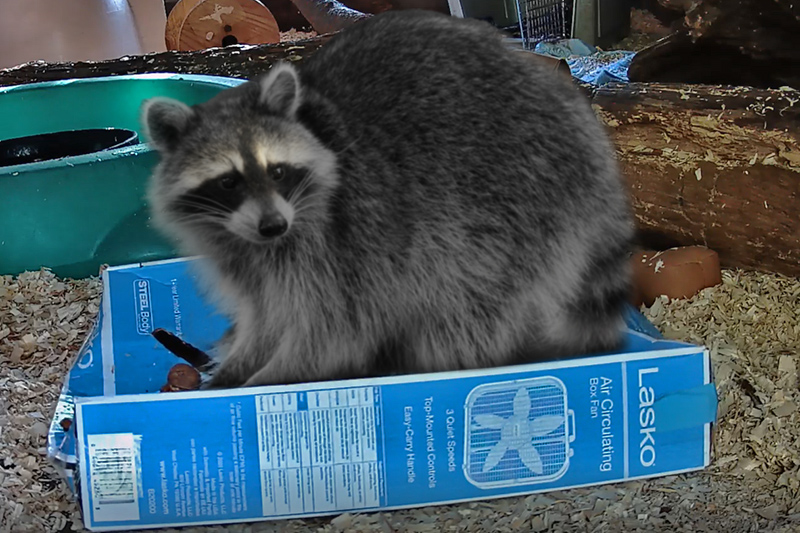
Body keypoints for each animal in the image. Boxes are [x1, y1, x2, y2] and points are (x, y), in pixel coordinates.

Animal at [141, 10, 636, 388]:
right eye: (229, 182)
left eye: (277, 171)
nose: (272, 226)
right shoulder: (245, 250)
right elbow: (265, 313)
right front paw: (240, 360)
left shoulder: (346, 237)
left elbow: (333, 327)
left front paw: (276, 374)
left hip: (512, 194)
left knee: (470, 297)